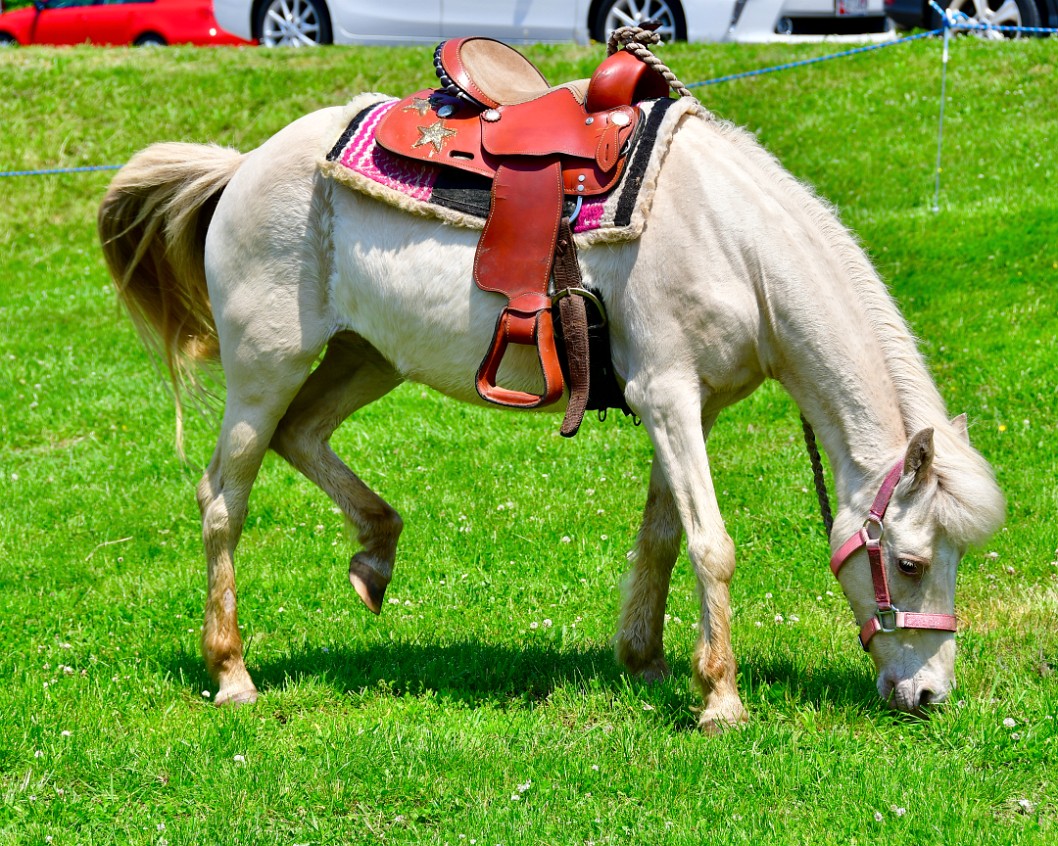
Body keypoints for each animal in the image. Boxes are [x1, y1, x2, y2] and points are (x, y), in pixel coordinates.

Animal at [97, 94, 998, 727]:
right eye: (910, 563)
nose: (930, 696)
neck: (733, 243)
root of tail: (244, 164)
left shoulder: (690, 407)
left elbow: (663, 535)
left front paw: (647, 662)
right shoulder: (668, 394)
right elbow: (712, 545)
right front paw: (721, 700)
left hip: (365, 356)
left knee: (303, 435)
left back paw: (376, 551)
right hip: (264, 368)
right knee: (223, 500)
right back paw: (232, 673)